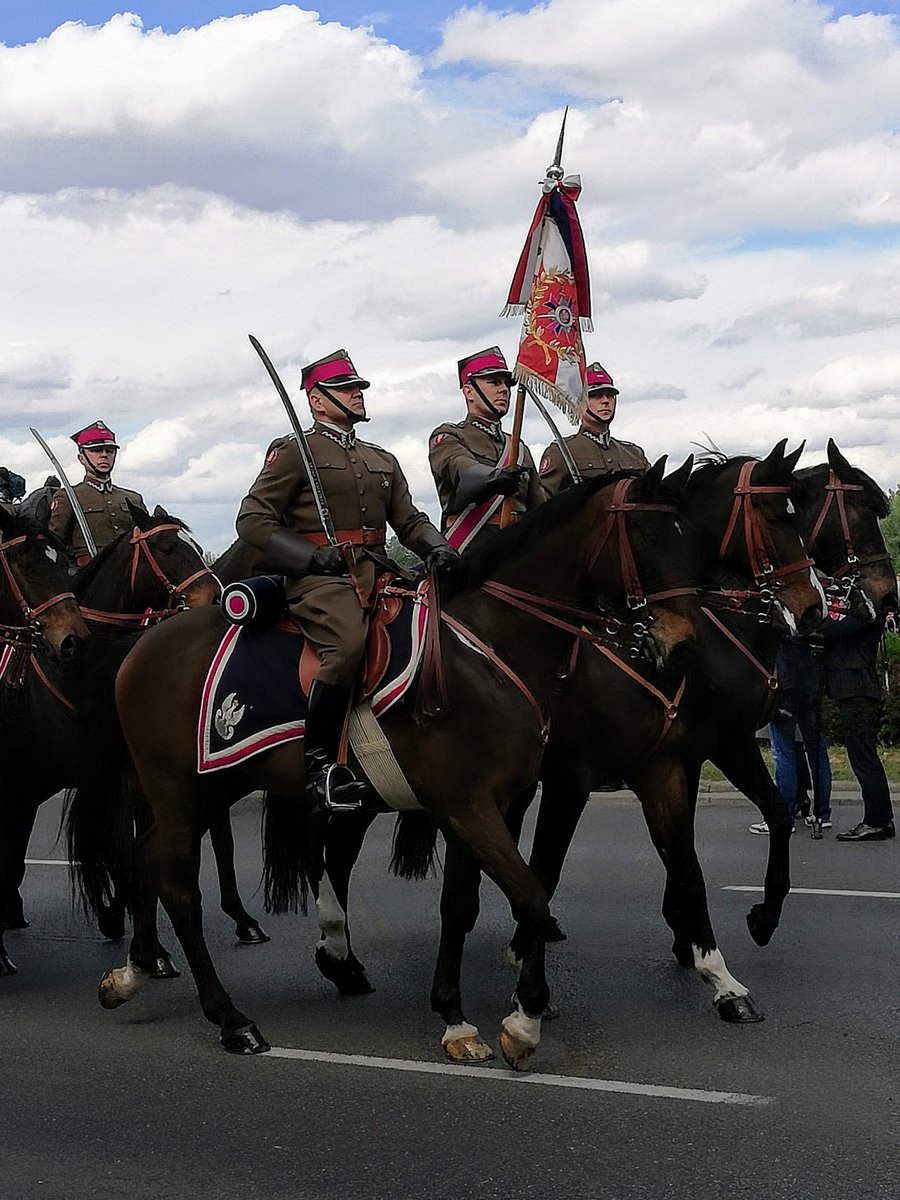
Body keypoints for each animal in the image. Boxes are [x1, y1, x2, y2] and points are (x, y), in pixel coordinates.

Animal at [74, 463, 700, 1056]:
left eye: (685, 535)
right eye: (646, 534)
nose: (683, 644)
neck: (489, 644)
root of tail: (143, 644)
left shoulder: (476, 806)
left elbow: (467, 904)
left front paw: (456, 1015)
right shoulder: (469, 805)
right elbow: (533, 901)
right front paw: (523, 1022)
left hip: (199, 790)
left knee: (146, 863)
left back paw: (133, 972)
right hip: (179, 792)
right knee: (179, 887)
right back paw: (231, 1019)